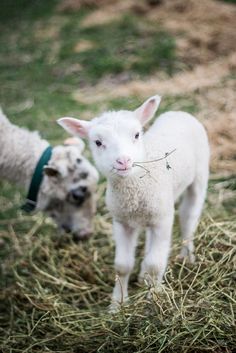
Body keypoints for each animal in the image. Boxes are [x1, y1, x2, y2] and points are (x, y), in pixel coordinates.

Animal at [58, 95, 209, 306]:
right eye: (98, 142)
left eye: (137, 135)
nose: (123, 161)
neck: (134, 190)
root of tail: (179, 113)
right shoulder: (122, 221)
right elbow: (122, 265)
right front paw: (118, 303)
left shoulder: (163, 219)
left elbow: (155, 264)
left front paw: (154, 298)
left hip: (199, 176)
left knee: (189, 217)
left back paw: (187, 256)